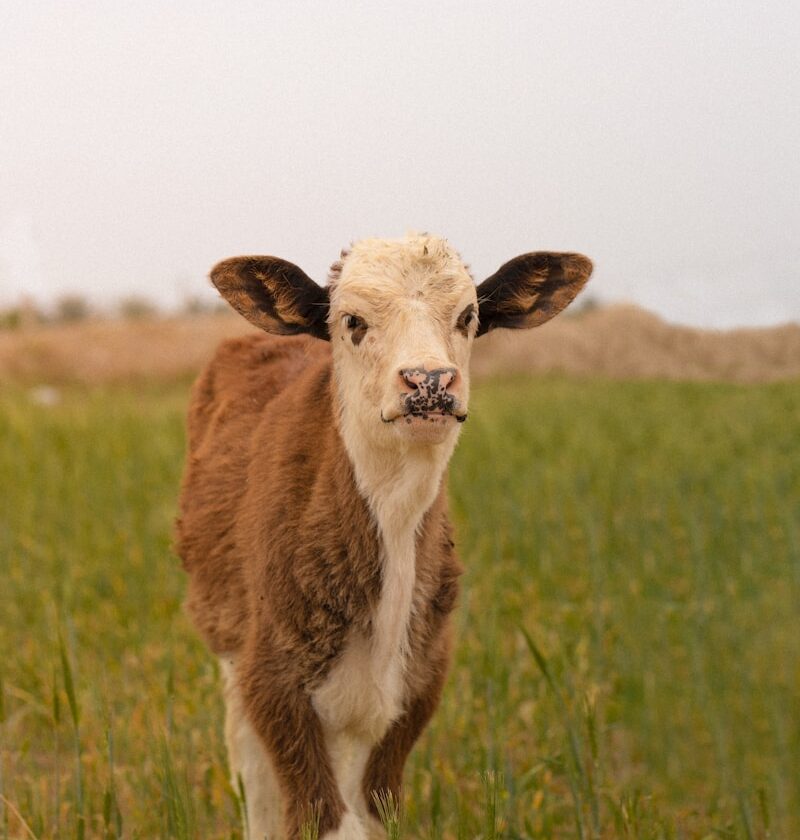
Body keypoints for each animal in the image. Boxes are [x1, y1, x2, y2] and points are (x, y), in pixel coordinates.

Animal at [176, 234, 592, 840]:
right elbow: (317, 816)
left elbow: (375, 814)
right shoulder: (271, 677)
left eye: (467, 316)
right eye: (352, 321)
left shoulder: (419, 683)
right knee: (253, 780)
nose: (429, 382)